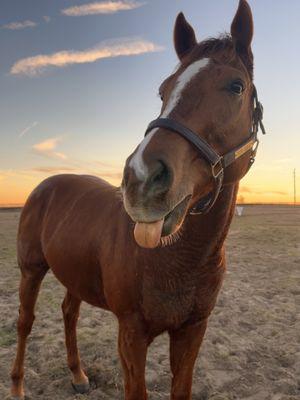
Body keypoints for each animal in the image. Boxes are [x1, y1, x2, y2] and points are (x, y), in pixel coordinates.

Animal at [9, 0, 264, 400]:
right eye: (162, 91)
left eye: (236, 86)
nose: (141, 179)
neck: (179, 257)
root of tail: (46, 185)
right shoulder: (131, 335)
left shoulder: (192, 332)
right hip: (31, 270)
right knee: (25, 322)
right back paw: (18, 386)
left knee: (68, 312)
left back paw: (78, 374)